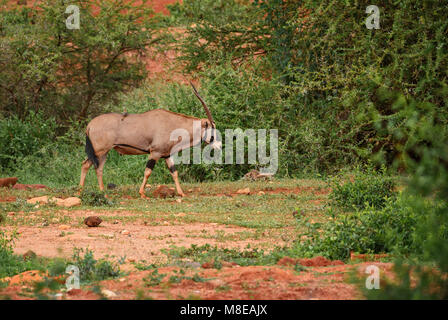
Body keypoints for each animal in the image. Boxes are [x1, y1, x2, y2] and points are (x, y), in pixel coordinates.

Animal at [80, 82, 222, 198]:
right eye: (212, 131)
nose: (219, 146)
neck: (173, 124)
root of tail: (90, 125)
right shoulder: (155, 153)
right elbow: (148, 172)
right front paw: (142, 193)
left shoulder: (166, 155)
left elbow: (174, 173)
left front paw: (181, 193)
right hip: (99, 151)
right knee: (87, 165)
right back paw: (81, 192)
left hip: (104, 152)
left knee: (97, 168)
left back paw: (101, 192)